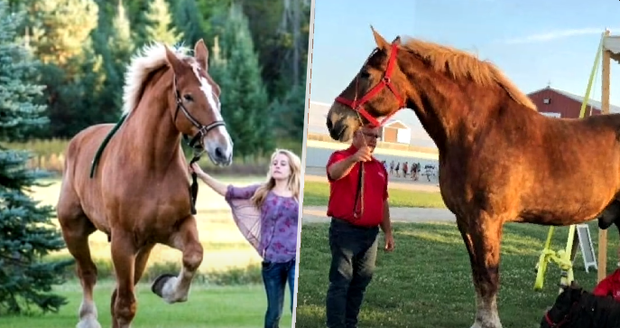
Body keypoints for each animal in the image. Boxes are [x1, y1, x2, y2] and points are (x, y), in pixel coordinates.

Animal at [56, 40, 232, 328]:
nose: (223, 150)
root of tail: (78, 140)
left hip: (144, 248)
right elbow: (125, 306)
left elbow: (194, 256)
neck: (152, 167)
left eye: (216, 92)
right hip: (74, 230)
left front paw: (167, 288)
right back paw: (88, 318)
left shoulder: (176, 227)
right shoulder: (122, 242)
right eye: (188, 96)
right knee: (88, 272)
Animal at [322, 27, 620, 328]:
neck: (478, 130)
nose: (333, 121)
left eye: (366, 73)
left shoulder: (486, 220)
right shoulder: (465, 220)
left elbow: (489, 278)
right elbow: (478, 277)